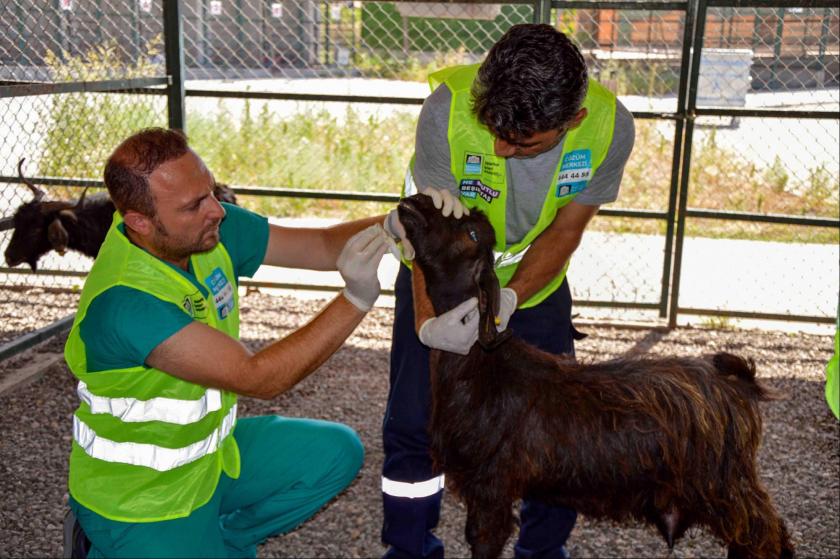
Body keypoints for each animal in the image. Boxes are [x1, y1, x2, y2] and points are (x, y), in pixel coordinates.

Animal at [398, 194, 792, 559]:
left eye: (472, 232)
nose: (417, 200)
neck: (481, 365)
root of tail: (737, 384)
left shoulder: (491, 485)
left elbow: (485, 540)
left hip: (724, 484)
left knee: (766, 534)